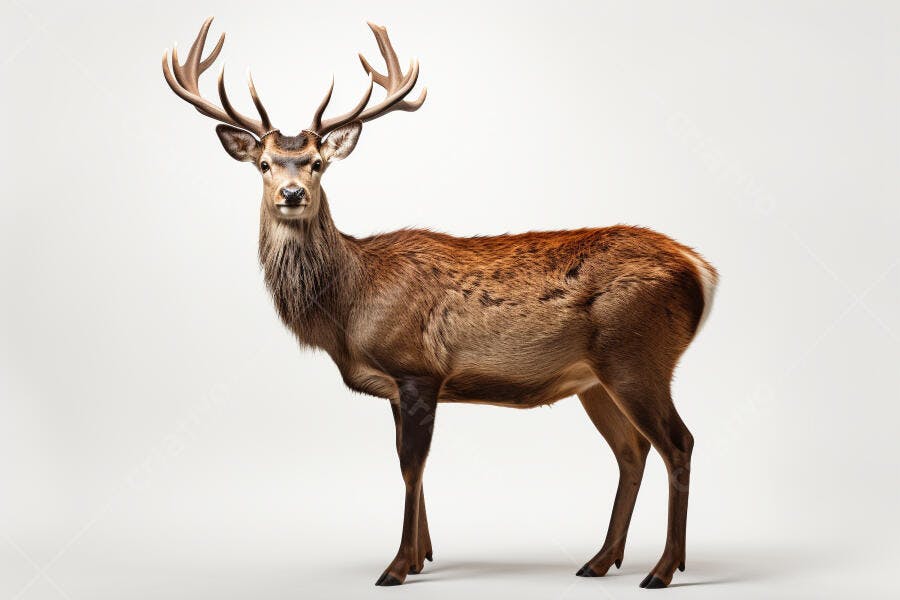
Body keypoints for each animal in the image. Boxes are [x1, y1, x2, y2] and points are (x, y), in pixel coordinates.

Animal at [162, 17, 718, 589]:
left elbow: (411, 465)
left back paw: (663, 569)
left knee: (679, 443)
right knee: (632, 451)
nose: (291, 194)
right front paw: (422, 555)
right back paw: (601, 559)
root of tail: (700, 270)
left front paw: (396, 566)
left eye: (317, 163)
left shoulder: (417, 368)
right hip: (595, 378)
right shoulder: (394, 385)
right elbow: (408, 464)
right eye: (264, 164)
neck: (350, 304)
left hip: (638, 355)